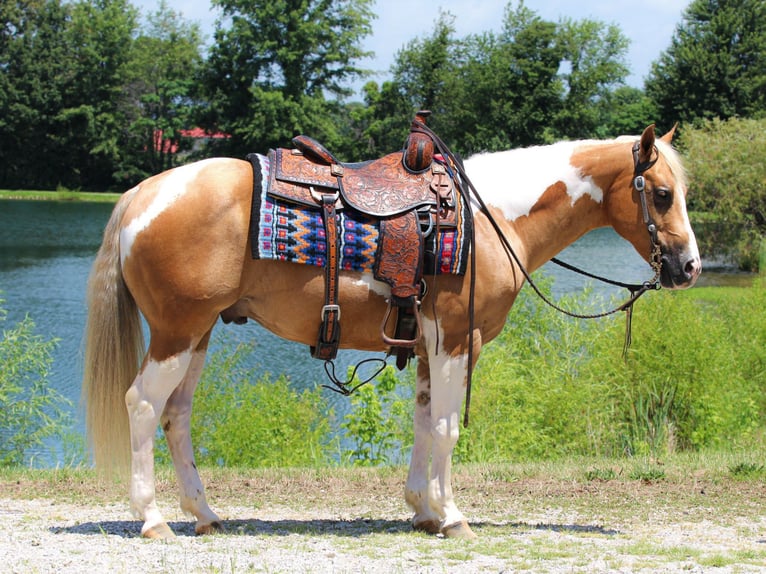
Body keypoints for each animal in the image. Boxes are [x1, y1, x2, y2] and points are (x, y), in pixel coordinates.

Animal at [82, 123, 700, 539]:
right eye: (662, 194)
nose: (689, 267)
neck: (492, 220)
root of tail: (144, 193)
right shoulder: (456, 340)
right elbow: (448, 429)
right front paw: (453, 518)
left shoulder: (429, 346)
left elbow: (425, 424)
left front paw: (423, 510)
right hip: (176, 332)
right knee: (143, 405)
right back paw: (152, 519)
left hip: (198, 334)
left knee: (177, 414)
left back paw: (206, 515)